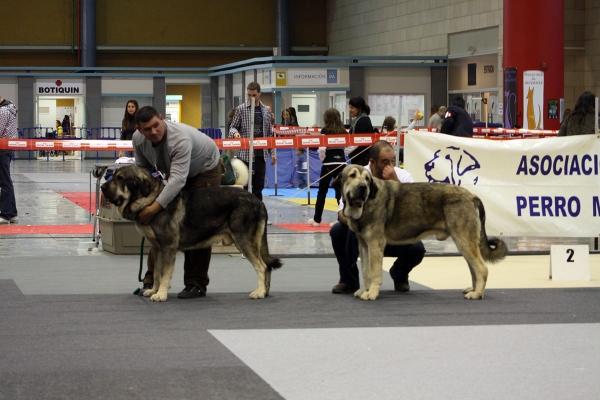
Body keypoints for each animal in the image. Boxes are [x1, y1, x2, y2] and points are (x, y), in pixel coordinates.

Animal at [99, 164, 284, 302]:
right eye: (112, 176)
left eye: (120, 178)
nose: (101, 186)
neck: (151, 200)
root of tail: (258, 201)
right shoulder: (158, 248)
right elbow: (157, 273)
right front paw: (153, 290)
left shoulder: (168, 247)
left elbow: (165, 273)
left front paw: (161, 294)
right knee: (267, 266)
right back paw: (265, 292)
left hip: (244, 240)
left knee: (261, 266)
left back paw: (258, 292)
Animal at [336, 165, 508, 300]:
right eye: (352, 176)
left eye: (367, 179)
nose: (363, 187)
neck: (365, 204)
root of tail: (473, 196)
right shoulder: (364, 246)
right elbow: (365, 271)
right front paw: (363, 290)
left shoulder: (375, 245)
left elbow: (374, 272)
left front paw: (371, 293)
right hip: (464, 242)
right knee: (474, 268)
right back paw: (473, 289)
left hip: (464, 240)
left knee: (482, 268)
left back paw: (477, 293)